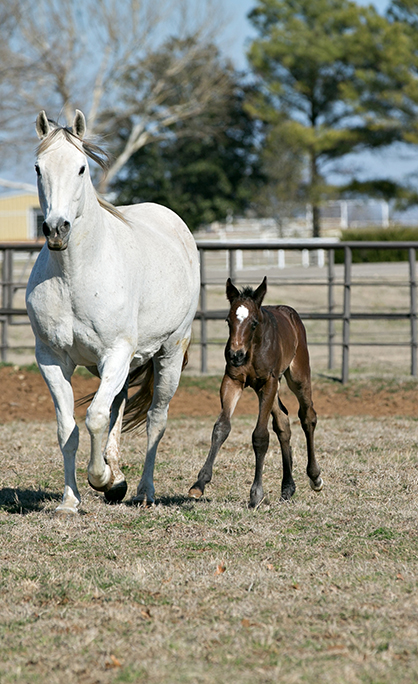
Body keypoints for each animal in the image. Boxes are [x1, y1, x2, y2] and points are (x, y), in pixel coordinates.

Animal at [25, 111, 200, 512]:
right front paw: (70, 501)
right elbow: (68, 428)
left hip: (168, 354)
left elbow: (94, 418)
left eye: (81, 168)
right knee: (118, 407)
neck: (75, 275)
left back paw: (144, 491)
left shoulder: (116, 353)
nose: (56, 229)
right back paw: (119, 479)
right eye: (39, 168)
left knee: (155, 420)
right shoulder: (51, 359)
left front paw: (100, 477)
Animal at [189, 278, 324, 508]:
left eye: (253, 323)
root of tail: (291, 314)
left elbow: (260, 436)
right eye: (228, 321)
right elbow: (221, 427)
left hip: (297, 376)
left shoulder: (267, 383)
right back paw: (287, 487)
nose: (236, 355)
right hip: (273, 387)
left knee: (308, 416)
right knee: (283, 424)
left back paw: (314, 477)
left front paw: (256, 494)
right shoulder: (233, 380)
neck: (253, 347)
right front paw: (199, 484)